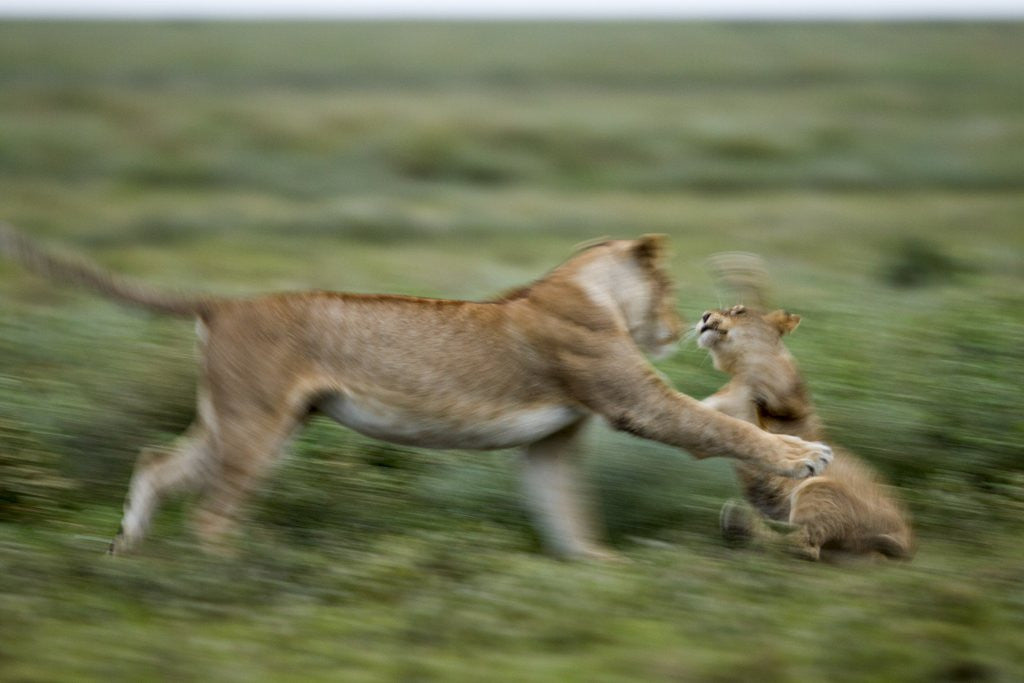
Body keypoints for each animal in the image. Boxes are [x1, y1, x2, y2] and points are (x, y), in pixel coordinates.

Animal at [0, 223, 832, 559]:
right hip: (257, 425)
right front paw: (804, 453)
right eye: (670, 287)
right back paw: (224, 582)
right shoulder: (637, 403)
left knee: (155, 462)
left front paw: (599, 568)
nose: (687, 321)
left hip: (250, 419)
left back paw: (125, 552)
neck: (581, 284)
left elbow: (565, 507)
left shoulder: (550, 442)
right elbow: (723, 427)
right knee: (210, 515)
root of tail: (224, 303)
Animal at [697, 304, 913, 561]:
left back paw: (742, 524)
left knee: (805, 547)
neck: (740, 375)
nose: (704, 316)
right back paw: (740, 523)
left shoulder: (795, 408)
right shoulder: (714, 406)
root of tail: (908, 538)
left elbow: (773, 393)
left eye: (739, 311)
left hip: (816, 487)